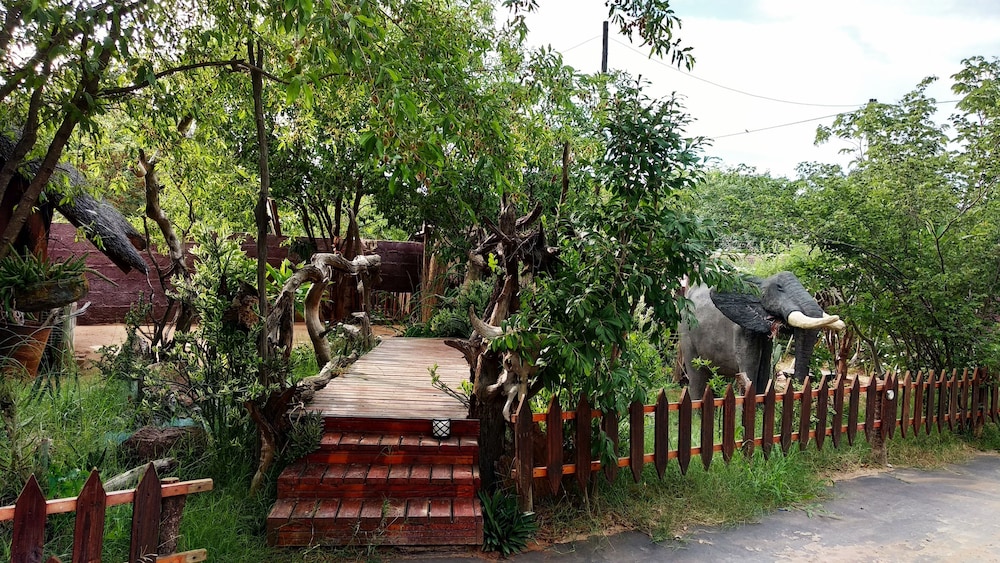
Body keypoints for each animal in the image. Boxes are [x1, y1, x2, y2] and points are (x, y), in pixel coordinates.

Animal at [678, 271, 845, 398]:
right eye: (779, 288)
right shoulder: (742, 329)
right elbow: (750, 367)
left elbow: (764, 370)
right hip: (685, 331)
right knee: (696, 375)